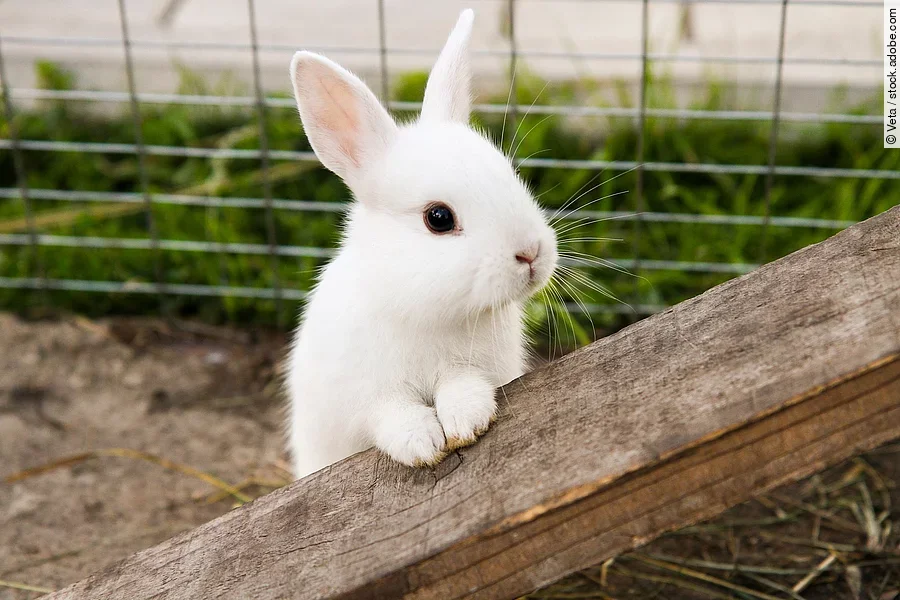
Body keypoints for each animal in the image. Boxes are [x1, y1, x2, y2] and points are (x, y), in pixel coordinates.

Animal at [286, 8, 558, 479]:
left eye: (510, 174)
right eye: (439, 218)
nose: (531, 254)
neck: (426, 311)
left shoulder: (476, 368)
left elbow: (463, 386)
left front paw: (466, 421)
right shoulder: (365, 397)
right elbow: (391, 415)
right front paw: (422, 443)